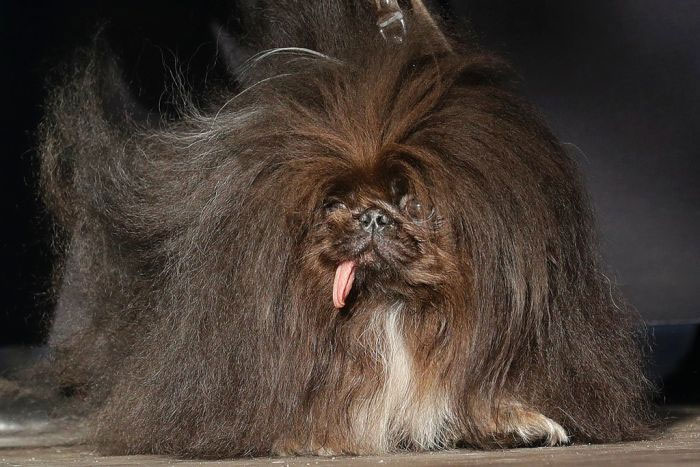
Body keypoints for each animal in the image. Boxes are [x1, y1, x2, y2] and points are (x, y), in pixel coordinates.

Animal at [39, 0, 652, 457]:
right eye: (332, 203)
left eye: (413, 202)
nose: (373, 216)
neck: (389, 315)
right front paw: (311, 432)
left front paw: (510, 417)